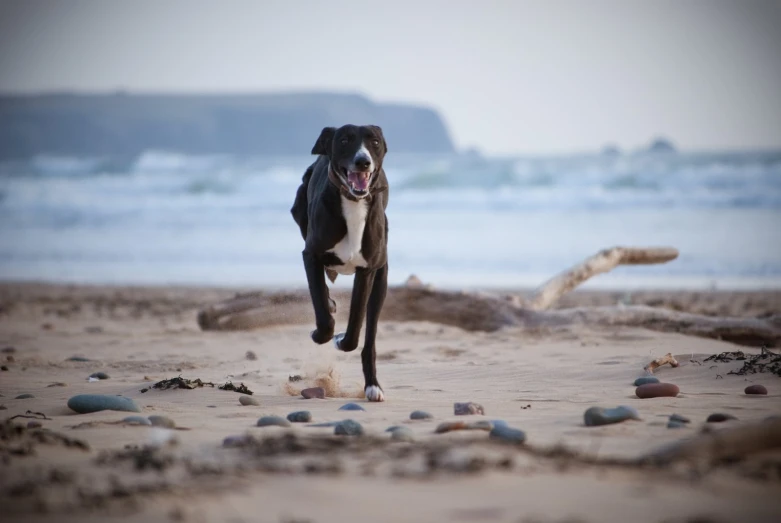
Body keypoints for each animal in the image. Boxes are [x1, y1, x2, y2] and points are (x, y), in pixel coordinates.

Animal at [290, 125, 390, 404]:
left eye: (375, 142)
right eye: (344, 140)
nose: (363, 161)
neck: (353, 203)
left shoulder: (367, 272)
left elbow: (354, 329)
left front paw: (339, 339)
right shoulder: (311, 256)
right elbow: (323, 315)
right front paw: (320, 334)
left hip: (381, 280)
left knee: (369, 339)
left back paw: (373, 386)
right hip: (299, 210)